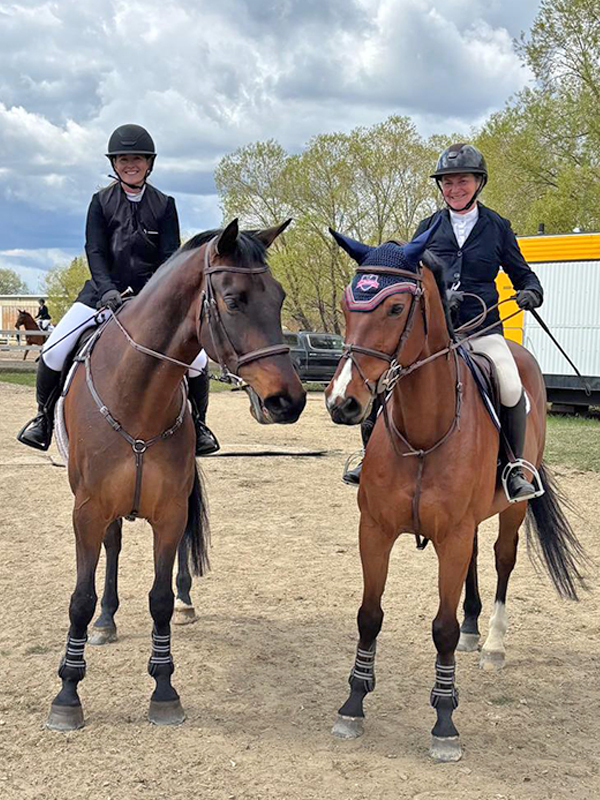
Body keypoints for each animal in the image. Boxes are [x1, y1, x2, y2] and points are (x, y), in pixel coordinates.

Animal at [45, 219, 307, 731]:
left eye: (280, 296)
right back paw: (106, 622)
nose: (289, 401)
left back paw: (185, 603)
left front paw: (164, 690)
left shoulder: (167, 512)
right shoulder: (87, 512)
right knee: (112, 547)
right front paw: (68, 693)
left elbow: (161, 599)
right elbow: (81, 597)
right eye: (233, 299)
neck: (136, 395)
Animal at [324, 226, 585, 762]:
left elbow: (439, 627)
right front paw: (353, 703)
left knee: (502, 560)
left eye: (395, 308)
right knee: (473, 564)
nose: (343, 403)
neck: (424, 429)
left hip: (508, 511)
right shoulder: (375, 531)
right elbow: (368, 616)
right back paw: (472, 630)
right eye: (346, 303)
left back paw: (493, 646)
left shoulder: (455, 533)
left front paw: (444, 721)